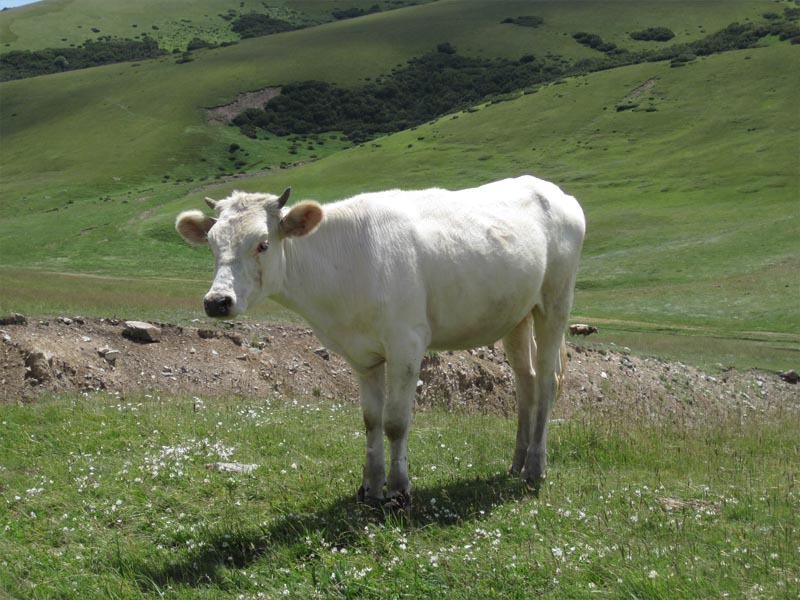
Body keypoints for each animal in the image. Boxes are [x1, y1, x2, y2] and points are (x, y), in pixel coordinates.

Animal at [176, 175, 586, 508]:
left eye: (262, 244)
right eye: (211, 244)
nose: (217, 302)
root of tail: (551, 189)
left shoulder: (406, 343)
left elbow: (395, 422)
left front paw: (399, 490)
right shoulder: (362, 354)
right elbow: (371, 419)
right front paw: (370, 488)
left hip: (555, 301)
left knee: (547, 380)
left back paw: (535, 467)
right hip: (516, 315)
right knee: (525, 382)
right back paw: (517, 462)